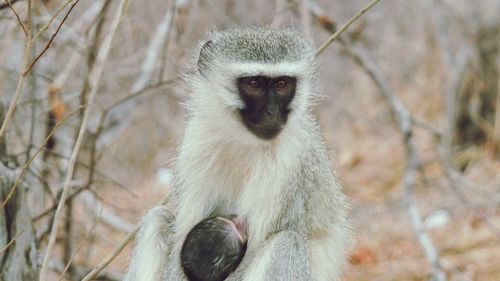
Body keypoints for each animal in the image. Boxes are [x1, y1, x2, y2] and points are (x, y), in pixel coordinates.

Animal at [125, 26, 352, 280]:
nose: (272, 112)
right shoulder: (196, 142)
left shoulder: (290, 164)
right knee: (158, 219)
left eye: (282, 83)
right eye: (254, 83)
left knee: (286, 242)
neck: (244, 140)